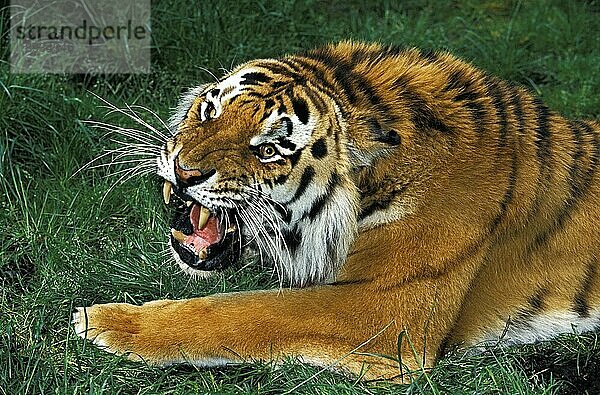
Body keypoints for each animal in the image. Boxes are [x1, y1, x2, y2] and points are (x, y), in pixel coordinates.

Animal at [71, 40, 600, 380]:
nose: (183, 172)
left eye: (269, 149)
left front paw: (105, 322)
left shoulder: (382, 309)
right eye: (210, 112)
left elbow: (240, 311)